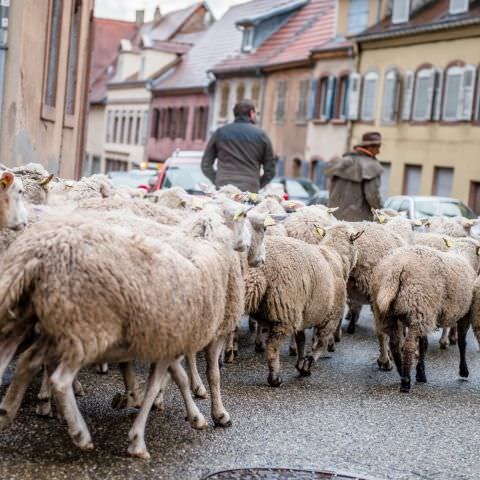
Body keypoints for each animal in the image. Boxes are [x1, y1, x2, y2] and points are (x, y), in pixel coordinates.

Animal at [0, 200, 258, 458]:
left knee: (26, 360)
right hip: (86, 328)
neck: (202, 245)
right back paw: (79, 432)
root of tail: (39, 256)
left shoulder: (167, 339)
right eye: (242, 216)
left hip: (34, 320)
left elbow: (174, 377)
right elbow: (206, 375)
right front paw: (215, 414)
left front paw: (141, 401)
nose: (247, 246)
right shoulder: (195, 334)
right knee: (59, 379)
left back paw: (8, 410)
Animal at [246, 224, 362, 386]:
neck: (336, 256)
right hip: (285, 310)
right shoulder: (331, 316)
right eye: (355, 244)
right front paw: (307, 364)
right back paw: (275, 378)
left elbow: (301, 340)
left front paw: (300, 363)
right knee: (272, 347)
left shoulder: (303, 314)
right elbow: (321, 343)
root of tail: (259, 270)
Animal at [372, 238, 480, 392]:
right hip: (418, 306)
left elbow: (424, 344)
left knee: (395, 344)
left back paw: (401, 372)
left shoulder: (429, 312)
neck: (466, 258)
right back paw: (405, 381)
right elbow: (462, 343)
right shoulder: (464, 314)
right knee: (409, 346)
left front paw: (420, 373)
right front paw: (463, 371)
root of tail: (396, 268)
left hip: (388, 313)